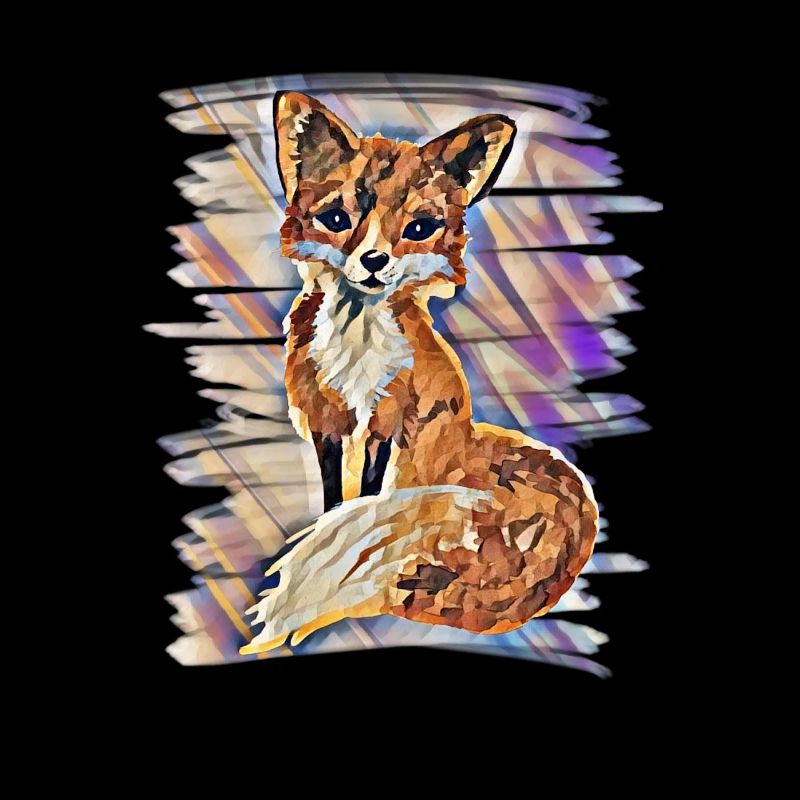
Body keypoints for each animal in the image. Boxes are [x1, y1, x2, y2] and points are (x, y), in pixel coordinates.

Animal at [239, 91, 599, 655]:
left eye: (419, 229)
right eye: (336, 218)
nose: (373, 261)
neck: (357, 343)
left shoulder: (388, 416)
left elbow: (365, 493)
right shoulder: (325, 418)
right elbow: (333, 495)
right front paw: (328, 522)